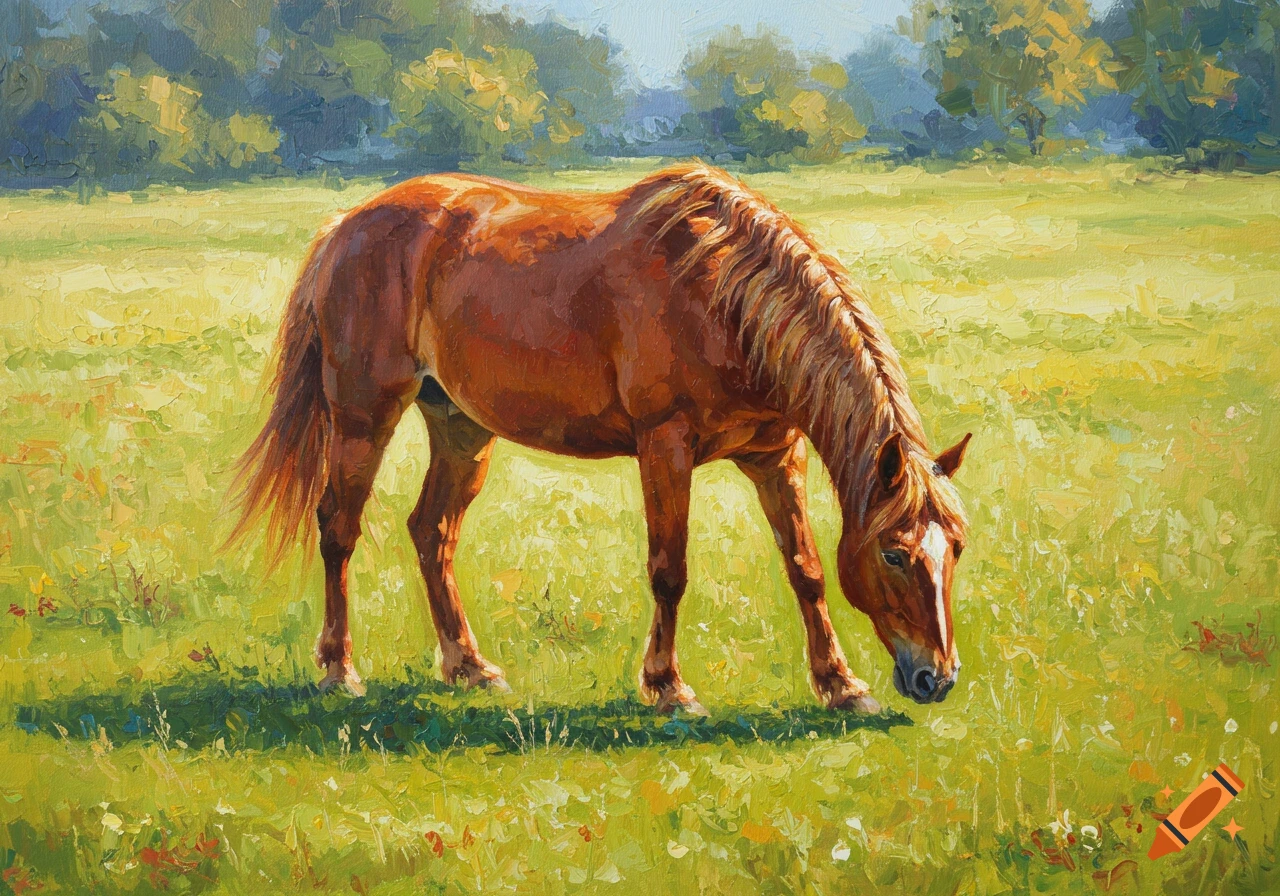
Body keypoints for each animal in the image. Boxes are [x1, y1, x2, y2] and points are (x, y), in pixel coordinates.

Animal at [230, 163, 971, 714]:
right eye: (895, 554)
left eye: (956, 549)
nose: (937, 680)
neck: (724, 294)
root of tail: (346, 225)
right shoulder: (665, 446)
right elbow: (669, 570)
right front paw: (668, 689)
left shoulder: (773, 455)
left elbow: (806, 570)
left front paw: (841, 686)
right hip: (363, 417)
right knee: (338, 528)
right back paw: (338, 671)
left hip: (461, 427)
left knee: (431, 531)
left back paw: (471, 668)